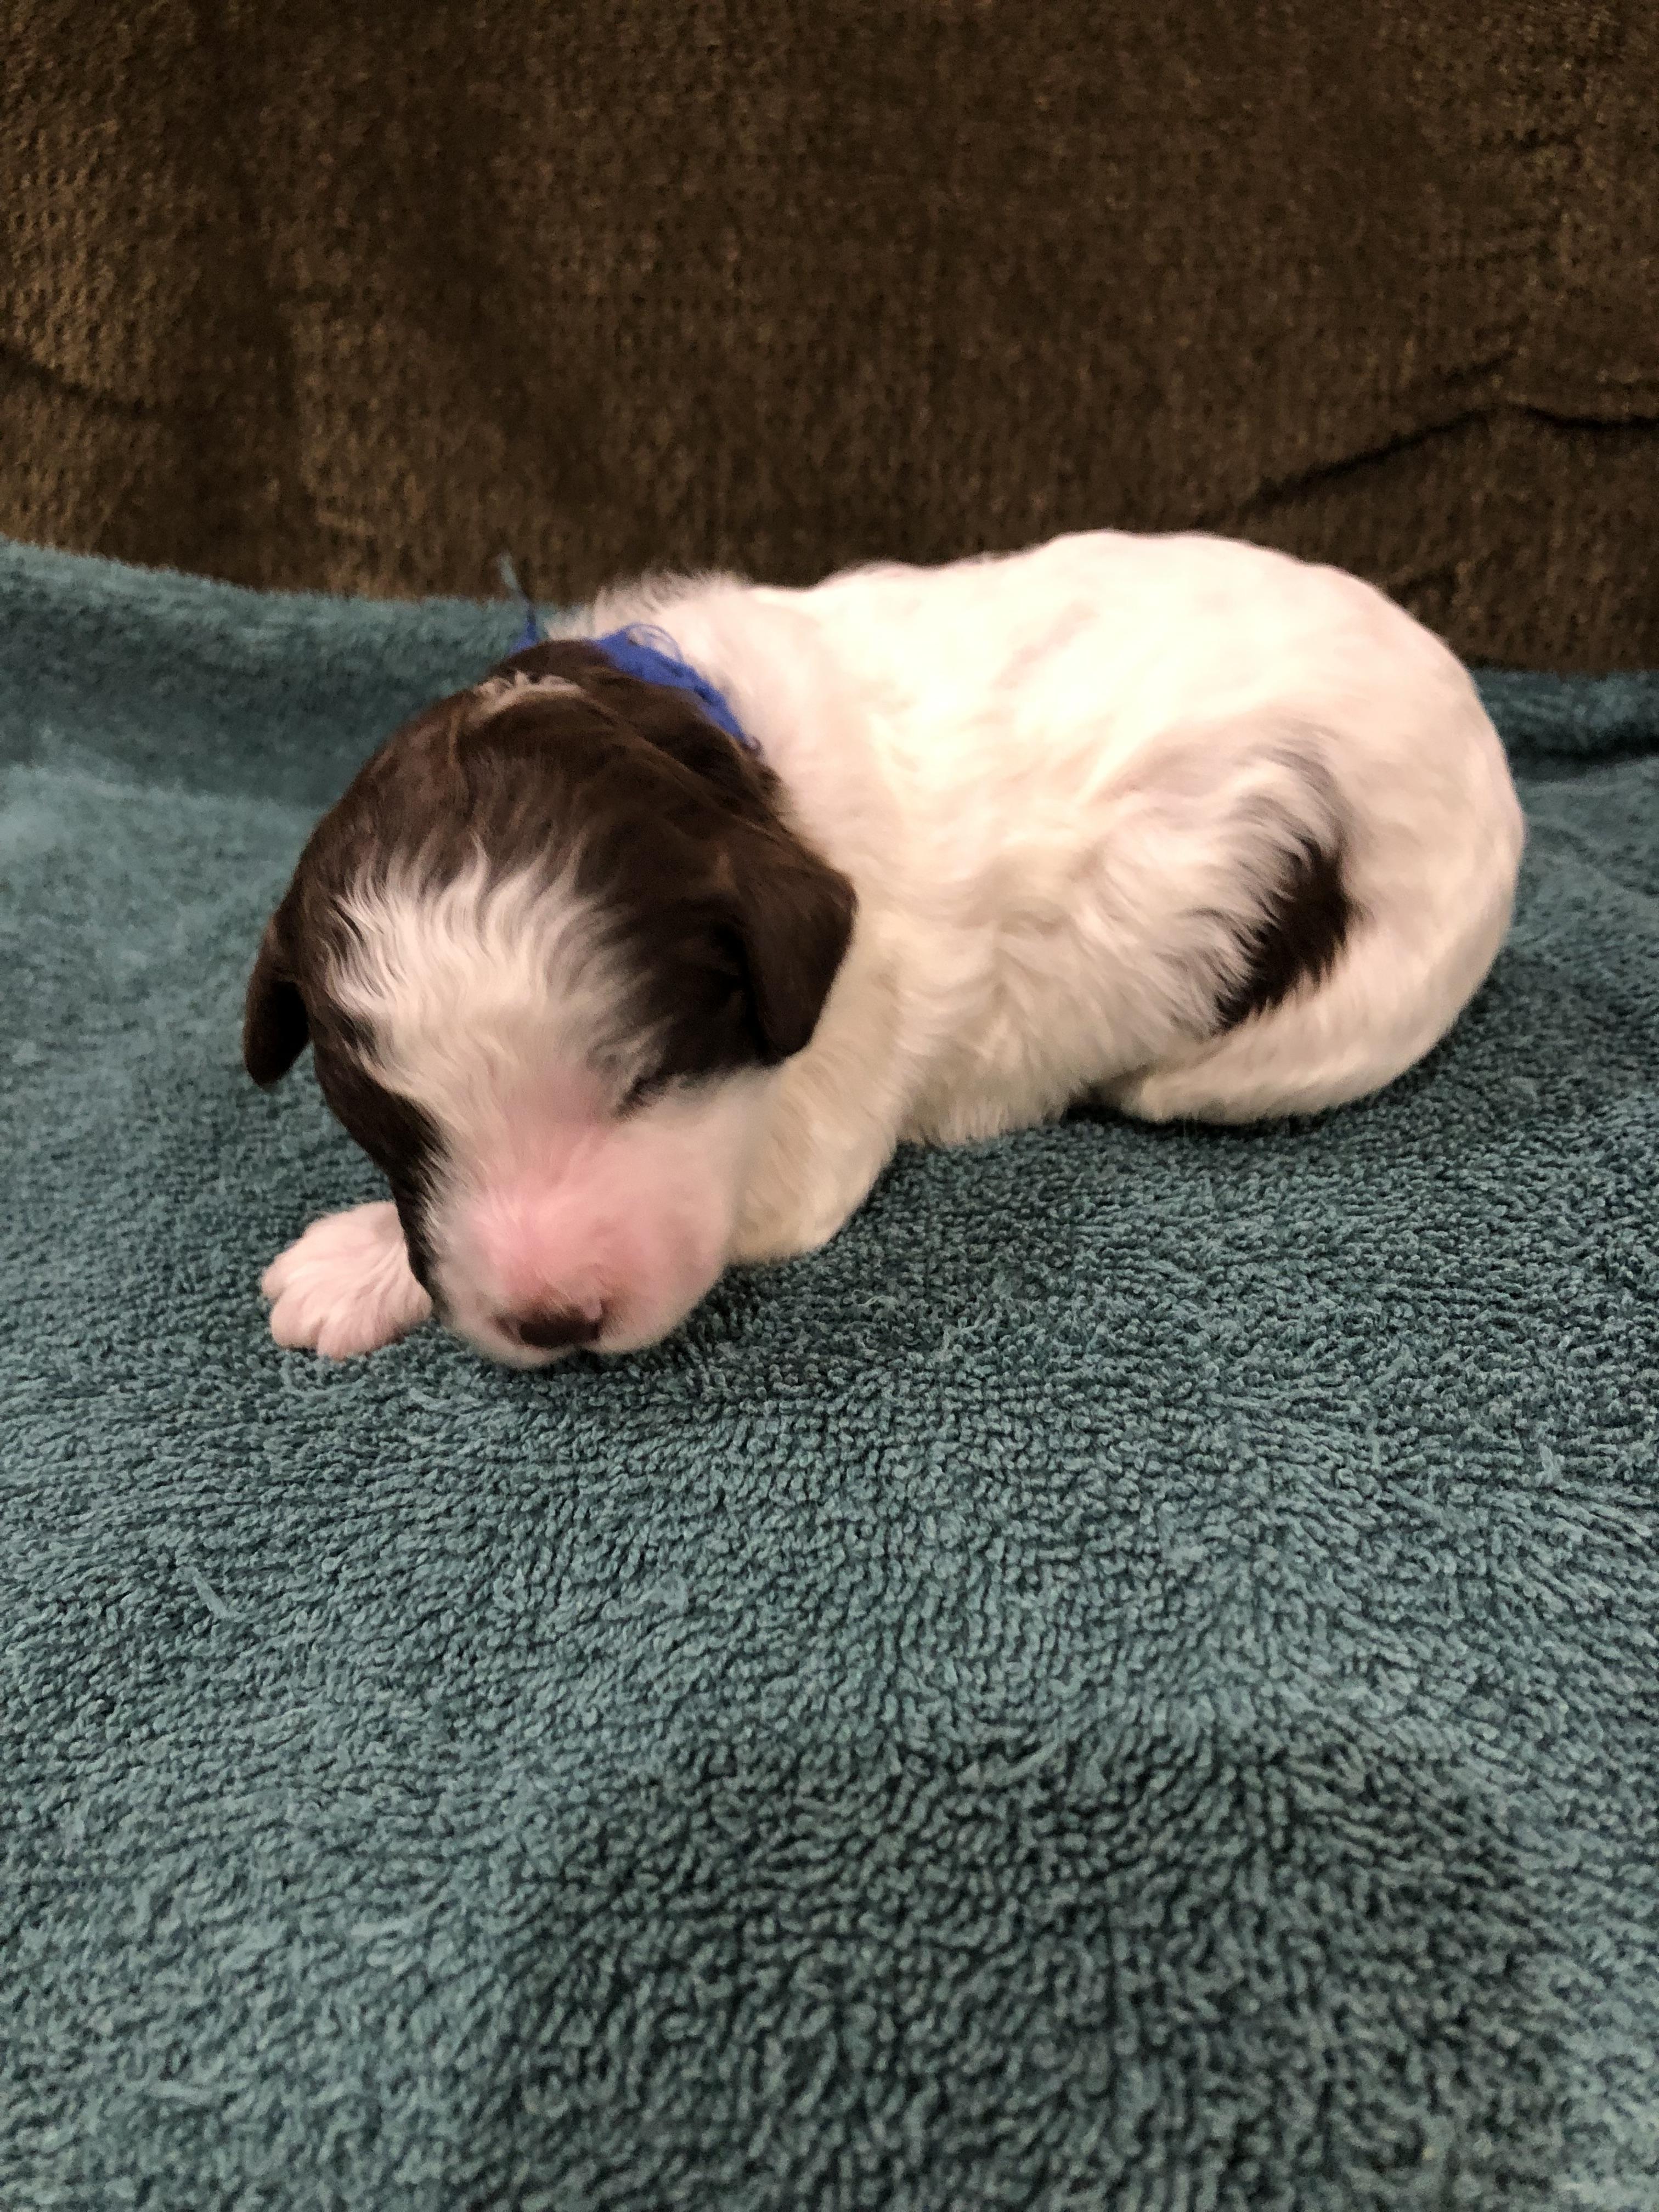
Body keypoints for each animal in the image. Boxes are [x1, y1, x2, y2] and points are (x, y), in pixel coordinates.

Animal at [244, 529, 1525, 1367]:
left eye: (648, 1080)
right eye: (393, 1130)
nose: (553, 1321)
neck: (738, 764)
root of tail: (1477, 723)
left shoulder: (820, 1108)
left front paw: (344, 1263)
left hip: (1315, 1030)